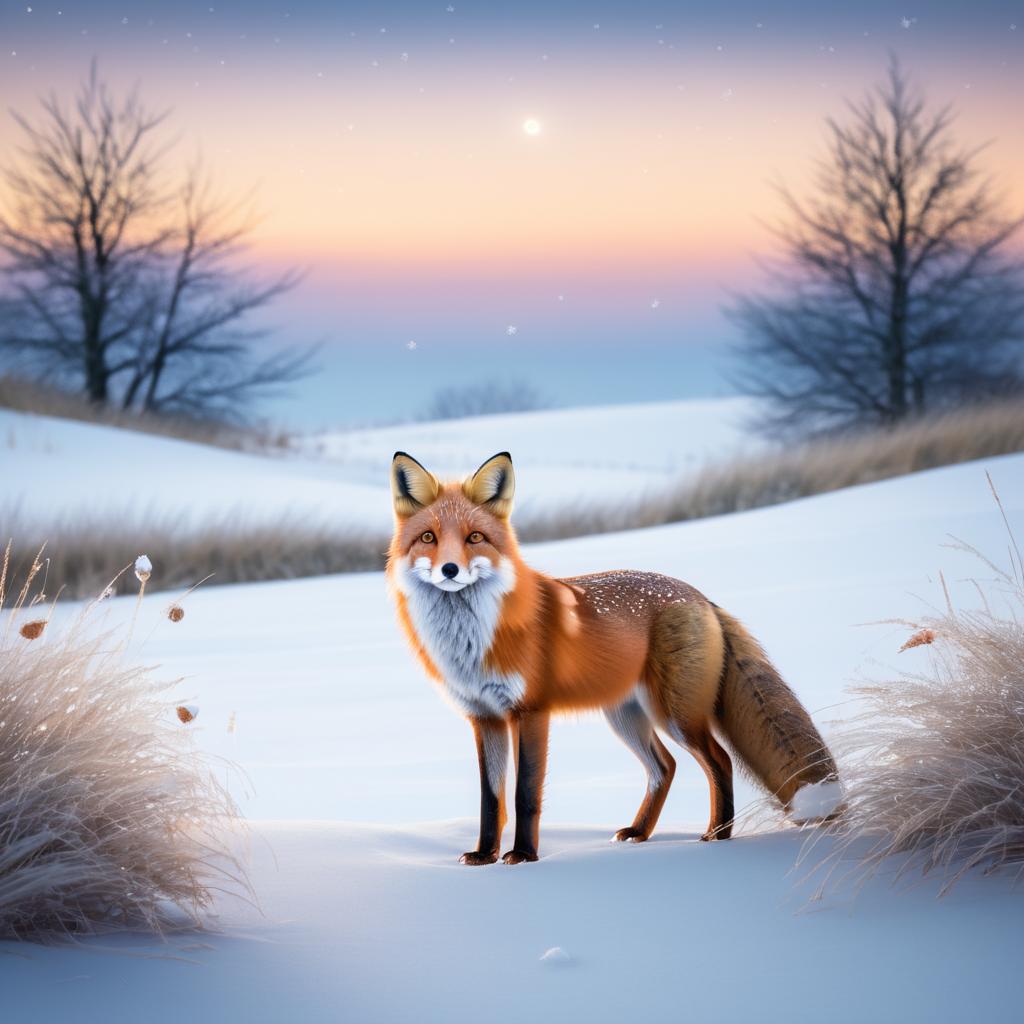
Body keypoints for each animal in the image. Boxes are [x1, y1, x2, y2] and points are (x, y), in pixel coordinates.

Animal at [385, 452, 839, 860]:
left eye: (474, 538)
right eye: (429, 538)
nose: (449, 570)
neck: (473, 640)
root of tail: (699, 595)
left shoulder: (530, 711)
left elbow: (525, 794)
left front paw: (524, 856)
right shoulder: (484, 718)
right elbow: (491, 799)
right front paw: (483, 856)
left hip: (676, 714)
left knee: (720, 761)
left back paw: (716, 837)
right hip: (625, 716)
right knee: (665, 767)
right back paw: (640, 832)